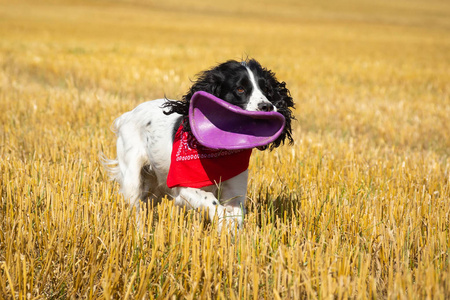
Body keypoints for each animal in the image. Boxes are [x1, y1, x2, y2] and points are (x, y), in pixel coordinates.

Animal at [104, 58, 296, 231]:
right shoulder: (184, 188)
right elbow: (211, 201)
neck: (218, 152)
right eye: (240, 89)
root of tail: (127, 115)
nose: (267, 106)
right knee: (136, 208)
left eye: (267, 89)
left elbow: (235, 215)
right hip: (133, 179)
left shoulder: (235, 191)